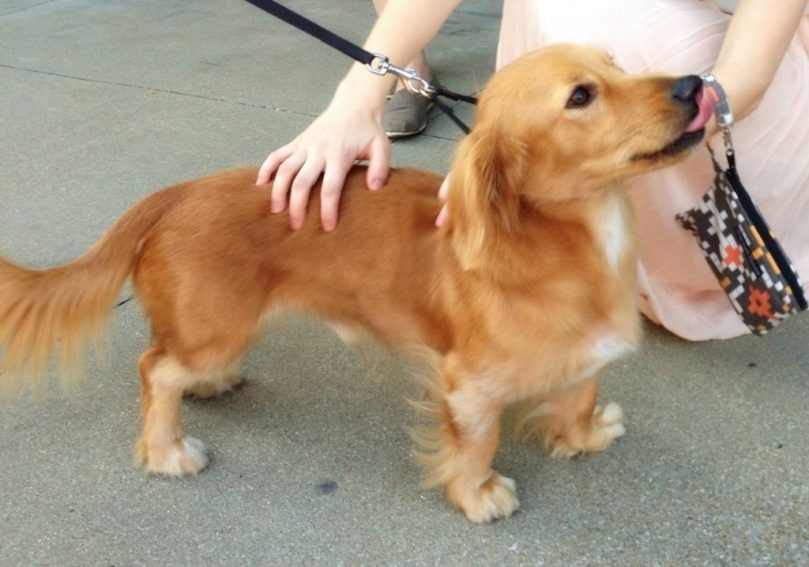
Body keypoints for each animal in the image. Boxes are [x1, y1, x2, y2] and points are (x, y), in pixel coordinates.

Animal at [0, 44, 712, 524]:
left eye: (618, 64)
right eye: (581, 97)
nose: (693, 83)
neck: (564, 239)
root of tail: (173, 195)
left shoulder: (582, 356)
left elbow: (580, 395)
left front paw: (584, 436)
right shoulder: (468, 386)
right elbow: (477, 445)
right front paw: (478, 494)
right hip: (216, 331)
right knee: (155, 370)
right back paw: (166, 449)